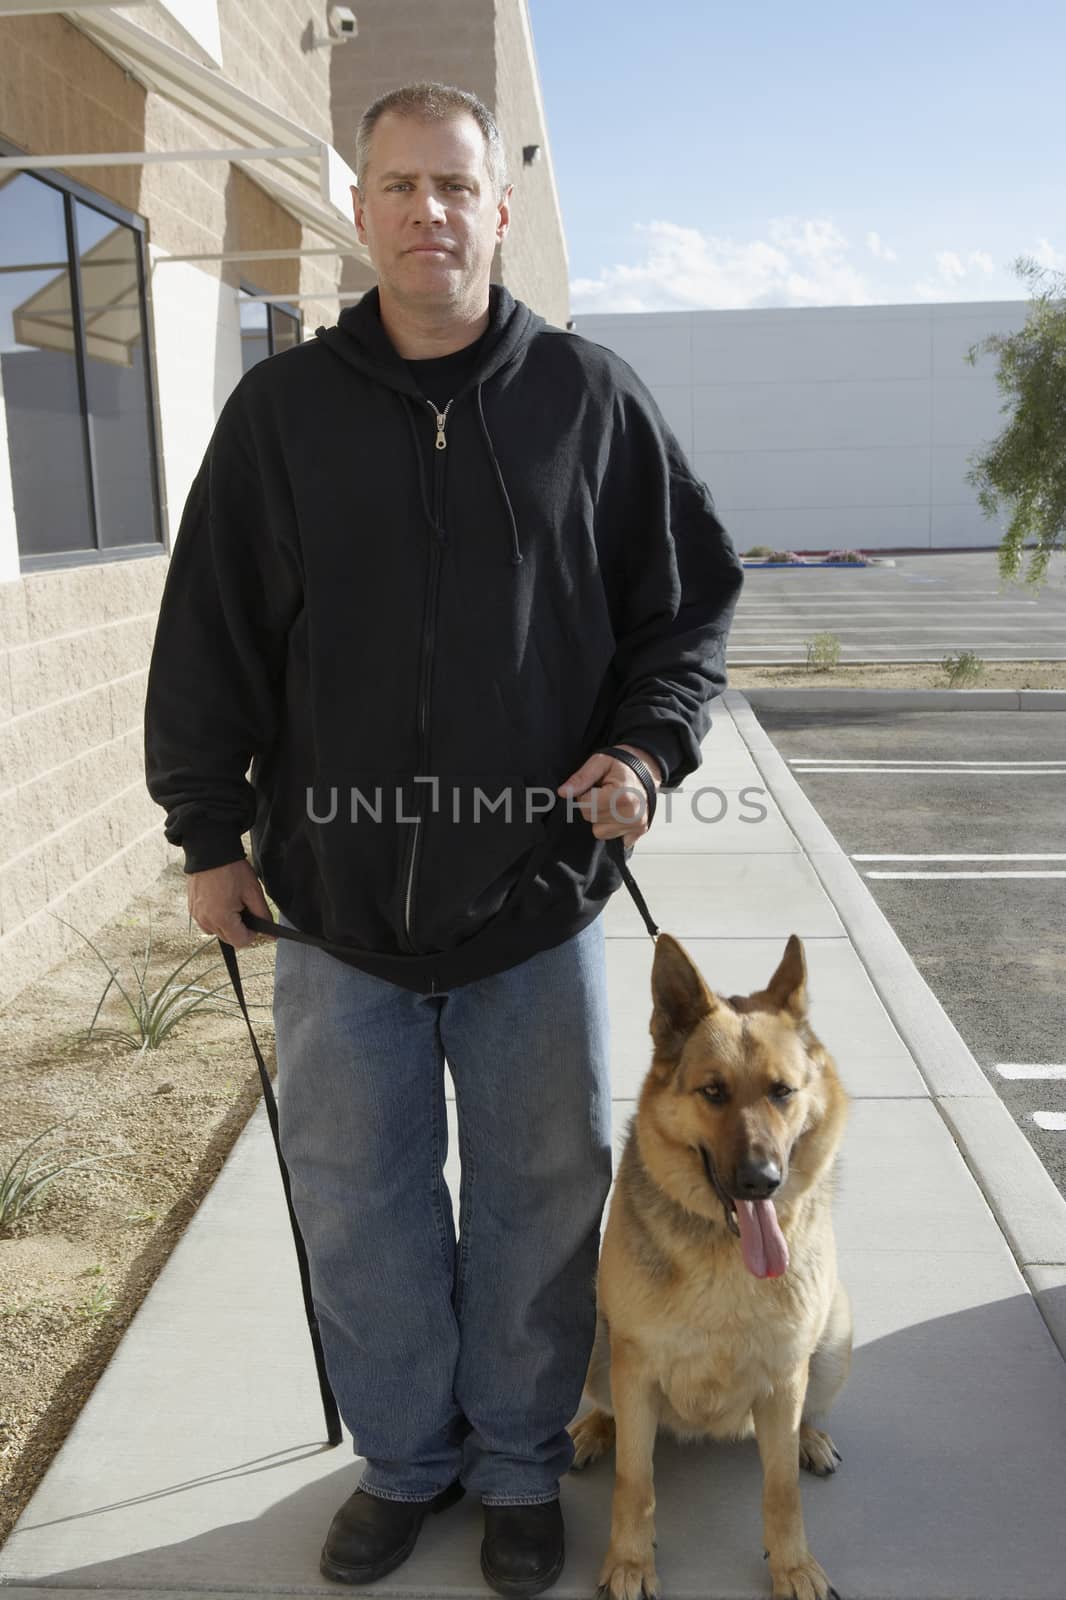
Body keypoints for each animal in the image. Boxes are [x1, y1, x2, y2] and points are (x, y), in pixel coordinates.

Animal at [569, 934, 851, 1600]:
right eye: (713, 1092)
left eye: (782, 1091)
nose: (761, 1181)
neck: (727, 1255)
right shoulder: (636, 1368)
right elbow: (635, 1483)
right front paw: (629, 1562)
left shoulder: (786, 1375)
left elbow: (781, 1489)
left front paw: (793, 1566)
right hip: (593, 1337)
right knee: (610, 1414)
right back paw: (595, 1429)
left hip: (833, 1341)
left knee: (809, 1412)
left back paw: (811, 1438)